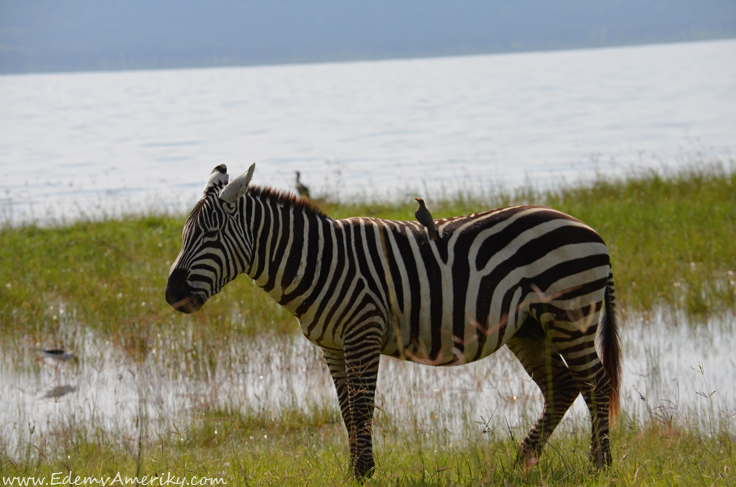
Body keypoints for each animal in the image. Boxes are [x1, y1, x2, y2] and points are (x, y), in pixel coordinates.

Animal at [165, 165, 620, 480]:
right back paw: (521, 460)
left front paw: (364, 470)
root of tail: (591, 231)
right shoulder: (332, 346)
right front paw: (353, 470)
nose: (172, 294)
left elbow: (362, 406)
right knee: (563, 386)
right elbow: (347, 410)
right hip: (529, 327)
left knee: (595, 382)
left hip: (569, 314)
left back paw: (600, 464)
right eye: (184, 235)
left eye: (209, 234)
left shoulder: (363, 333)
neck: (319, 263)